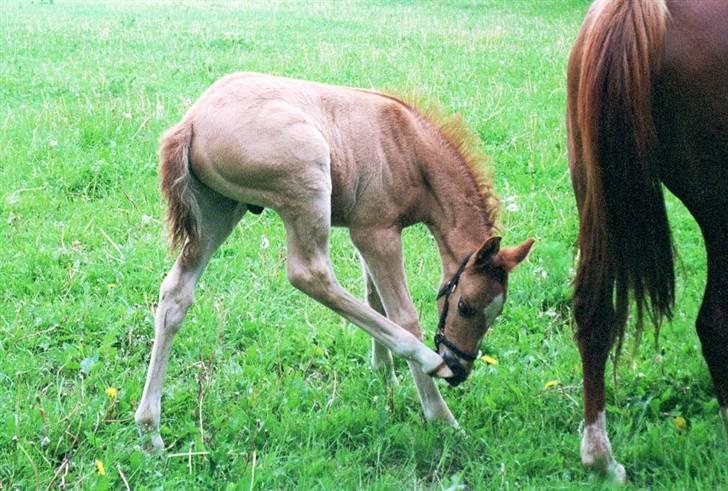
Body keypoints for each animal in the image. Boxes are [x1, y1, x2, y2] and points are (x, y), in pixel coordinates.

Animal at [134, 71, 536, 452]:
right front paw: (441, 416)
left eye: (497, 312)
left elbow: (374, 299)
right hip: (307, 184)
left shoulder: (366, 234)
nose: (460, 366)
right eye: (466, 306)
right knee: (309, 274)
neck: (410, 146)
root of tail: (191, 122)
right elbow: (403, 315)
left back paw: (150, 431)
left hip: (217, 211)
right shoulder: (376, 232)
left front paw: (385, 376)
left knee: (176, 293)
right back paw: (426, 361)